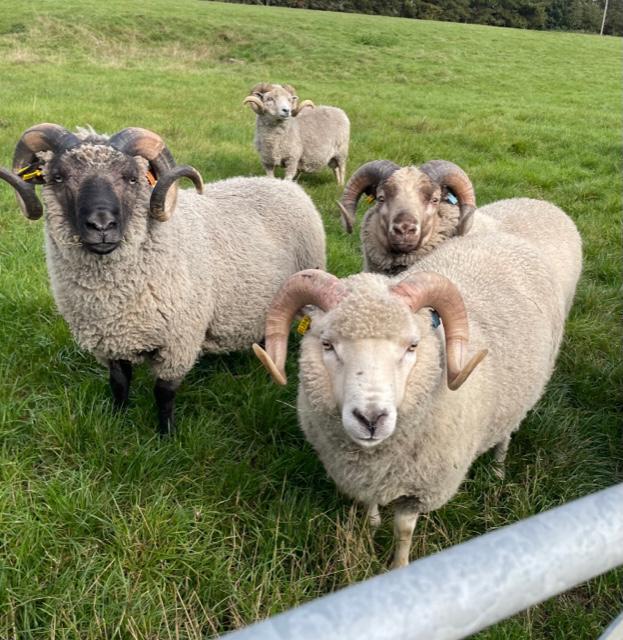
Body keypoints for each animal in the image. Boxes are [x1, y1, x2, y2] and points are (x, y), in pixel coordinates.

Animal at [0, 123, 326, 434]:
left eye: (132, 178)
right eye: (57, 177)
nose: (102, 225)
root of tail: (284, 184)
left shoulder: (179, 340)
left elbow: (164, 393)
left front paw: (166, 434)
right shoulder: (110, 340)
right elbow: (119, 382)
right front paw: (117, 419)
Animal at [253, 201, 581, 569]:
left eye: (412, 345)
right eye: (327, 344)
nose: (371, 419)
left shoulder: (421, 487)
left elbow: (404, 531)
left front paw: (398, 566)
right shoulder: (366, 475)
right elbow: (371, 504)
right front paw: (371, 523)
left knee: (508, 430)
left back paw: (498, 467)